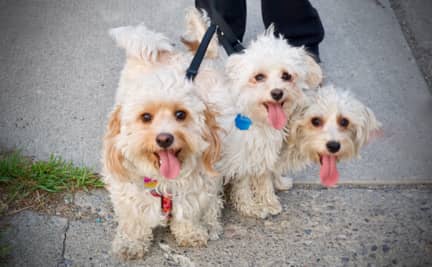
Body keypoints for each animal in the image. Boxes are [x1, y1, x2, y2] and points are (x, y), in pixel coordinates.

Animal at [101, 22, 223, 260]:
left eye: (181, 114)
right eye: (146, 117)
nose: (165, 138)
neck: (164, 181)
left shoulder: (196, 187)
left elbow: (188, 213)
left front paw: (191, 233)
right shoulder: (129, 190)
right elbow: (134, 220)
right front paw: (130, 243)